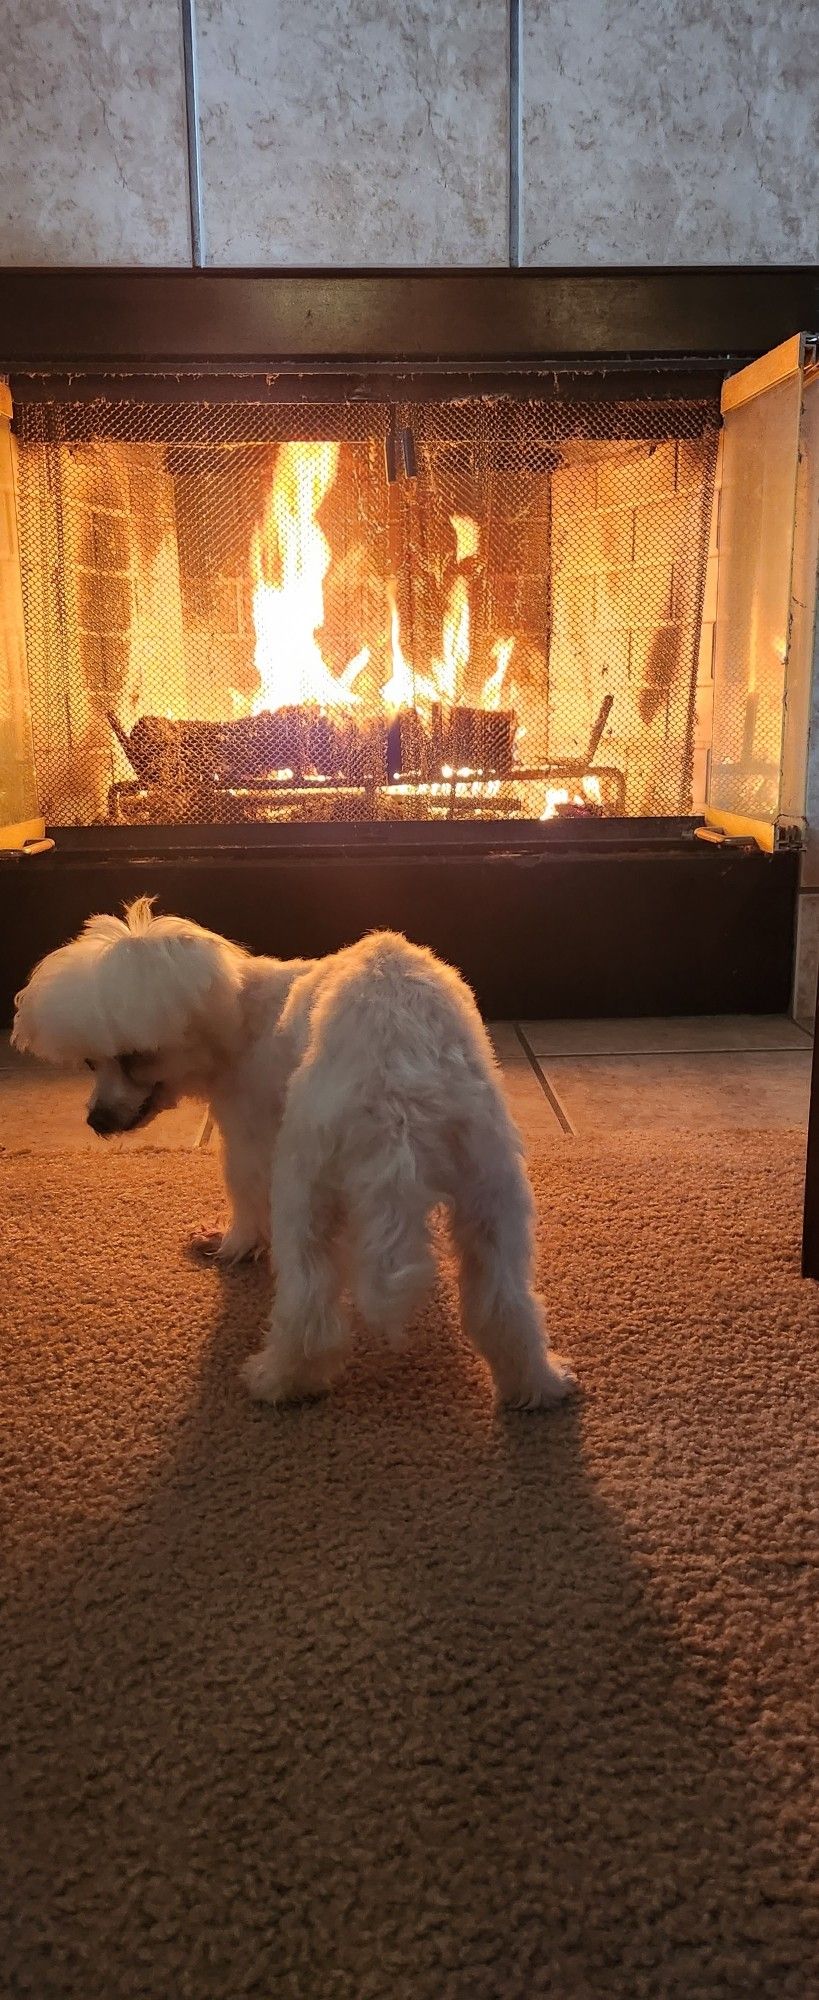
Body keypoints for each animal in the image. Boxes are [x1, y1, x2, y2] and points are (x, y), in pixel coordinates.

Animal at [12, 900, 575, 1416]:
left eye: (134, 1058)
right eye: (91, 1062)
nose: (97, 1121)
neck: (240, 1015)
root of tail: (395, 1085)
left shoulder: (249, 1138)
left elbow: (244, 1202)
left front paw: (230, 1246)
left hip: (305, 1188)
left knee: (309, 1310)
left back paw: (279, 1381)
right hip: (494, 1192)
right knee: (505, 1306)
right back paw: (537, 1385)